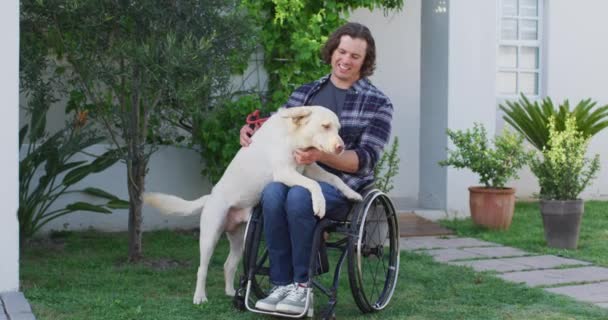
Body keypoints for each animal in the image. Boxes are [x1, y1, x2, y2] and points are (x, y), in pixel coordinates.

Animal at [142, 106, 360, 304]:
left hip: (240, 240)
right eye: (325, 126)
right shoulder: (285, 172)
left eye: (338, 129)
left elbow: (334, 178)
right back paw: (200, 297)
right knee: (202, 269)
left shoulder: (309, 169)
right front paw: (320, 204)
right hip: (210, 237)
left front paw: (353, 194)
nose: (341, 148)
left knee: (228, 265)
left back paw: (231, 293)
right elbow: (314, 185)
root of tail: (210, 196)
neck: (293, 136)